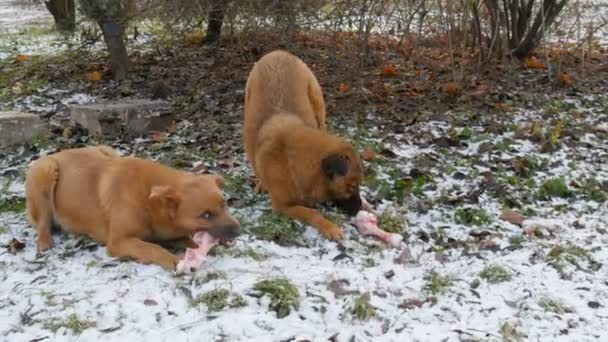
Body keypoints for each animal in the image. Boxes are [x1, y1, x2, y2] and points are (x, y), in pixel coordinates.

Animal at [25, 146, 240, 272]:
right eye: (206, 215)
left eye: (224, 204)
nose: (239, 231)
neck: (147, 200)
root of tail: (57, 153)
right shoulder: (118, 242)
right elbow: (152, 248)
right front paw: (172, 259)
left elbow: (184, 239)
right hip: (45, 172)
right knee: (42, 222)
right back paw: (44, 242)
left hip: (108, 150)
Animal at [242, 49, 364, 240]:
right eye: (351, 185)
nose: (360, 208)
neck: (291, 159)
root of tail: (278, 52)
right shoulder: (282, 206)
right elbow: (311, 212)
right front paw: (329, 226)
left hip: (317, 104)